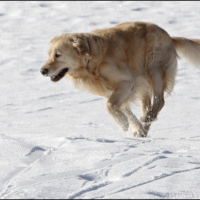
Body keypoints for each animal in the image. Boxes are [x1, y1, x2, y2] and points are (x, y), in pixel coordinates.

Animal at [40, 21, 200, 138]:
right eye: (49, 54)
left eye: (58, 54)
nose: (42, 71)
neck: (91, 60)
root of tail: (170, 37)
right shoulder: (115, 90)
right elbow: (124, 111)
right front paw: (137, 128)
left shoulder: (126, 82)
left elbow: (109, 105)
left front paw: (123, 124)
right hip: (143, 83)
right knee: (148, 105)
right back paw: (144, 127)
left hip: (154, 70)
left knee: (159, 100)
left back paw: (149, 117)